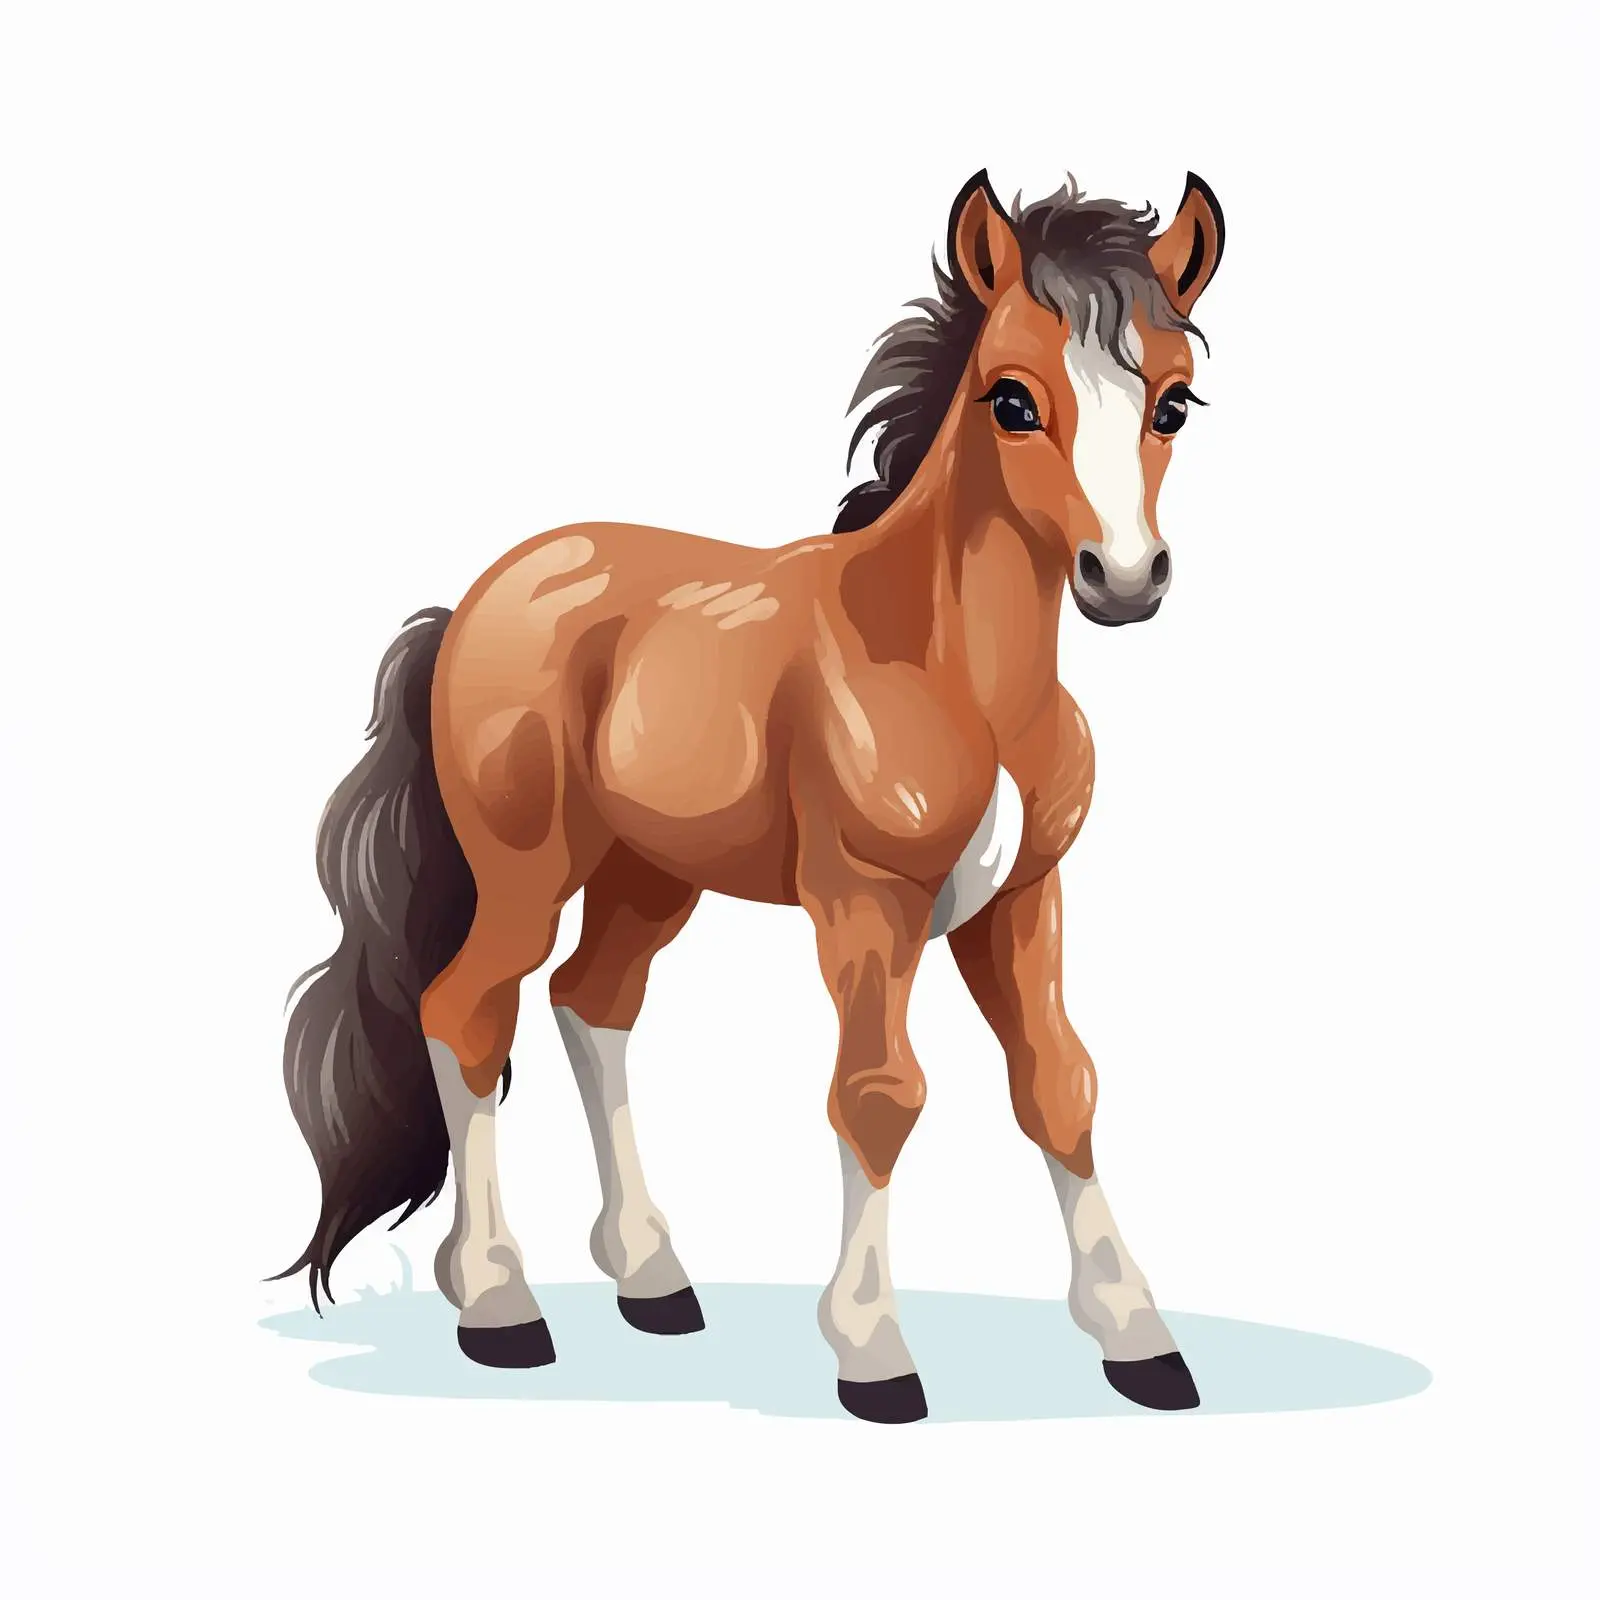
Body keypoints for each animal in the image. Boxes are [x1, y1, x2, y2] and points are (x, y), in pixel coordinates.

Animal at [278, 167, 1226, 1423]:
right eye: (1012, 400)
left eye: (1174, 405)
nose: (1122, 580)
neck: (953, 671)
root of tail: (478, 600)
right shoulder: (864, 904)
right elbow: (878, 1094)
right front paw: (873, 1353)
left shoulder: (1023, 899)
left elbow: (1058, 1082)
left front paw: (1138, 1338)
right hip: (525, 873)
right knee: (468, 1011)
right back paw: (497, 1304)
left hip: (650, 876)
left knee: (592, 1001)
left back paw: (651, 1278)